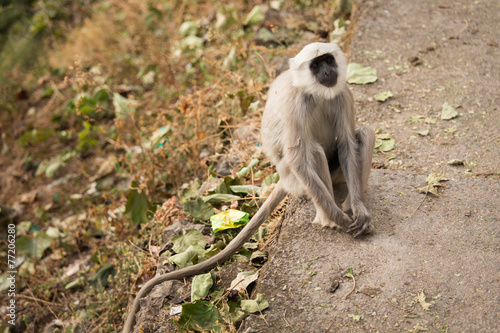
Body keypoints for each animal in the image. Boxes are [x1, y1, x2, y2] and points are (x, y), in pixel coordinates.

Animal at [122, 42, 376, 332]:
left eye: (328, 60)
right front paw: (339, 219)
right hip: (293, 179)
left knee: (363, 133)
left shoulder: (342, 92)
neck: (316, 93)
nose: (326, 71)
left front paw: (359, 211)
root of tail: (282, 180)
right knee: (310, 152)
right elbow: (298, 157)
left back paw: (349, 202)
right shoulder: (295, 103)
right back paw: (329, 217)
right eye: (315, 65)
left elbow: (347, 142)